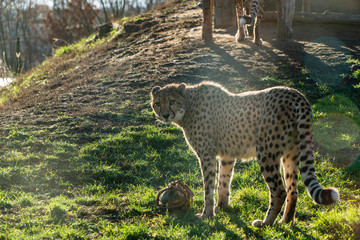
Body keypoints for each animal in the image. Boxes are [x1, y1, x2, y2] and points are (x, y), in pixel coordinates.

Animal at [150, 81, 340, 226]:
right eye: (158, 104)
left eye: (172, 101)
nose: (165, 115)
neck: (189, 104)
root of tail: (295, 94)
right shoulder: (227, 156)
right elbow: (223, 183)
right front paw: (222, 208)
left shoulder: (206, 156)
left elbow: (209, 187)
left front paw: (207, 214)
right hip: (290, 154)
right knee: (293, 190)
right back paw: (285, 221)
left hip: (266, 153)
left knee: (279, 190)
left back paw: (266, 223)